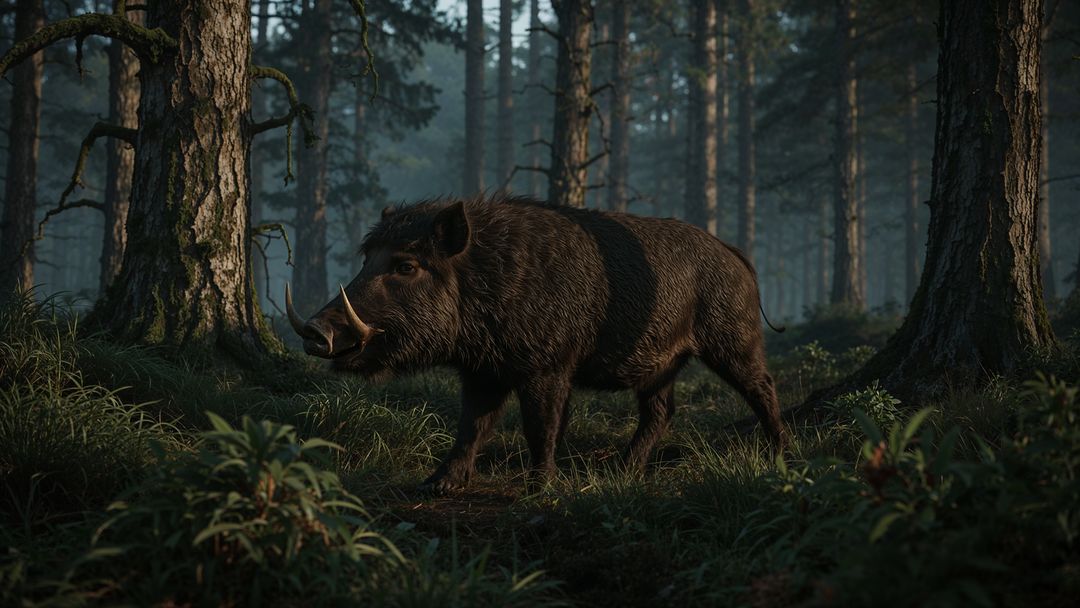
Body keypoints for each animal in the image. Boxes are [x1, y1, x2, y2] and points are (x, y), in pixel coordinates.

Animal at [285, 195, 785, 494]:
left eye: (406, 265)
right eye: (367, 259)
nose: (314, 331)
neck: (484, 284)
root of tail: (739, 259)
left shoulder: (548, 366)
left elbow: (540, 426)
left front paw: (539, 488)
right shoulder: (483, 373)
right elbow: (471, 426)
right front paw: (436, 486)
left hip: (732, 339)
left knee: (762, 386)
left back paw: (780, 453)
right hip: (660, 365)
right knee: (661, 412)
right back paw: (622, 472)